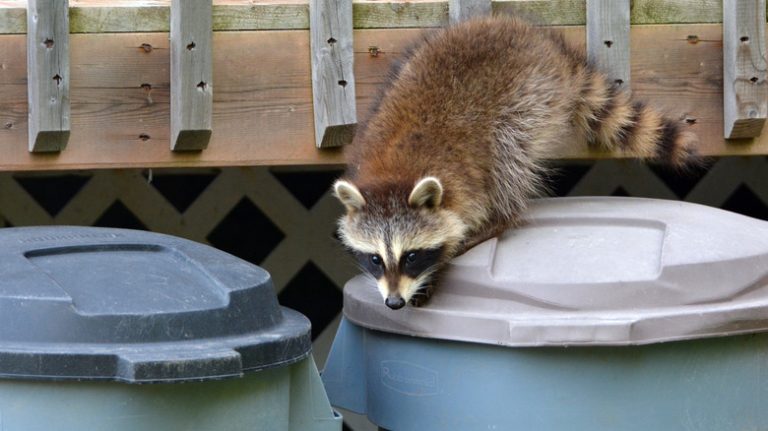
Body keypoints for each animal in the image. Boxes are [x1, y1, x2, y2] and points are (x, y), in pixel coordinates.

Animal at [332, 15, 700, 308]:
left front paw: (442, 260)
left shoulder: (466, 184)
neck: (395, 174)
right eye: (375, 259)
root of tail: (545, 46)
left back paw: (503, 216)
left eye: (411, 256)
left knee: (509, 155)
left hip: (528, 101)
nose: (394, 302)